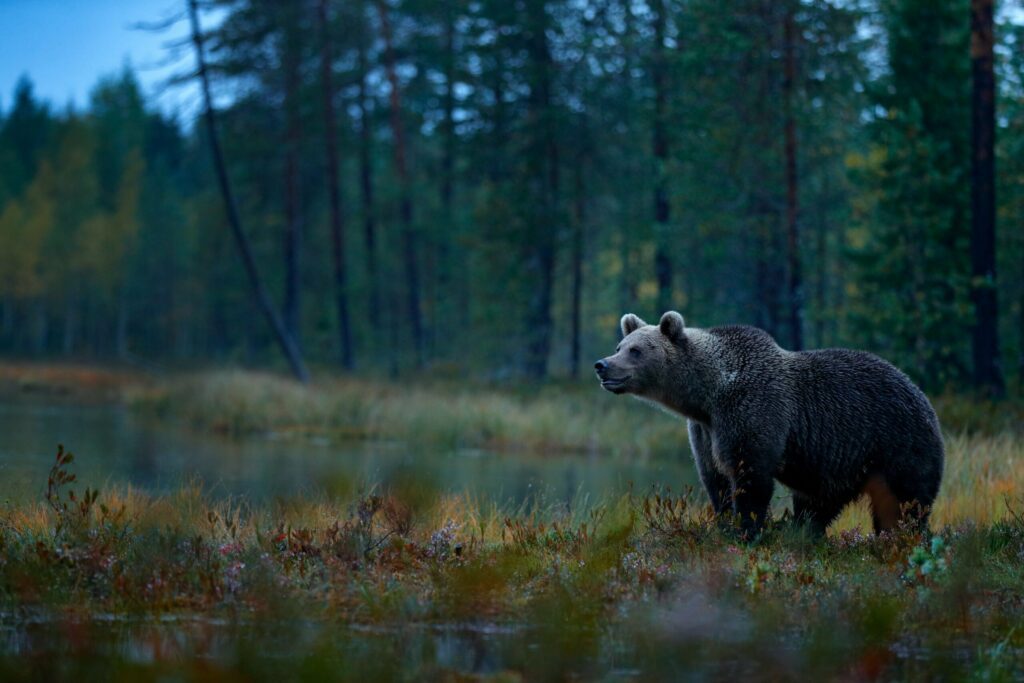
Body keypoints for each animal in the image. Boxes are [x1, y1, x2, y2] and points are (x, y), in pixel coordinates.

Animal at [598, 311, 942, 540]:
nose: (602, 365)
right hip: (842, 464)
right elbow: (714, 478)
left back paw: (900, 537)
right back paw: (805, 532)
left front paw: (748, 530)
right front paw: (724, 524)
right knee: (818, 503)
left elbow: (751, 475)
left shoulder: (751, 410)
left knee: (906, 500)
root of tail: (922, 395)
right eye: (620, 345)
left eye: (636, 350)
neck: (708, 394)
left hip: (897, 442)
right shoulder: (704, 430)